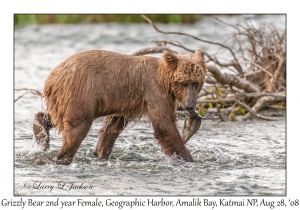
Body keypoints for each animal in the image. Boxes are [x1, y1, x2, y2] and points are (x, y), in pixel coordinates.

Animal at [32, 50, 206, 165]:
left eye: (196, 82)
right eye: (183, 83)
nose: (190, 105)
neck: (165, 81)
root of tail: (52, 77)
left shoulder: (126, 102)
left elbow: (112, 127)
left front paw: (100, 152)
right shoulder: (154, 91)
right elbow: (165, 125)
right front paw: (189, 159)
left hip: (66, 98)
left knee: (57, 116)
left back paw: (40, 131)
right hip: (80, 92)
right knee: (77, 128)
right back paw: (62, 157)